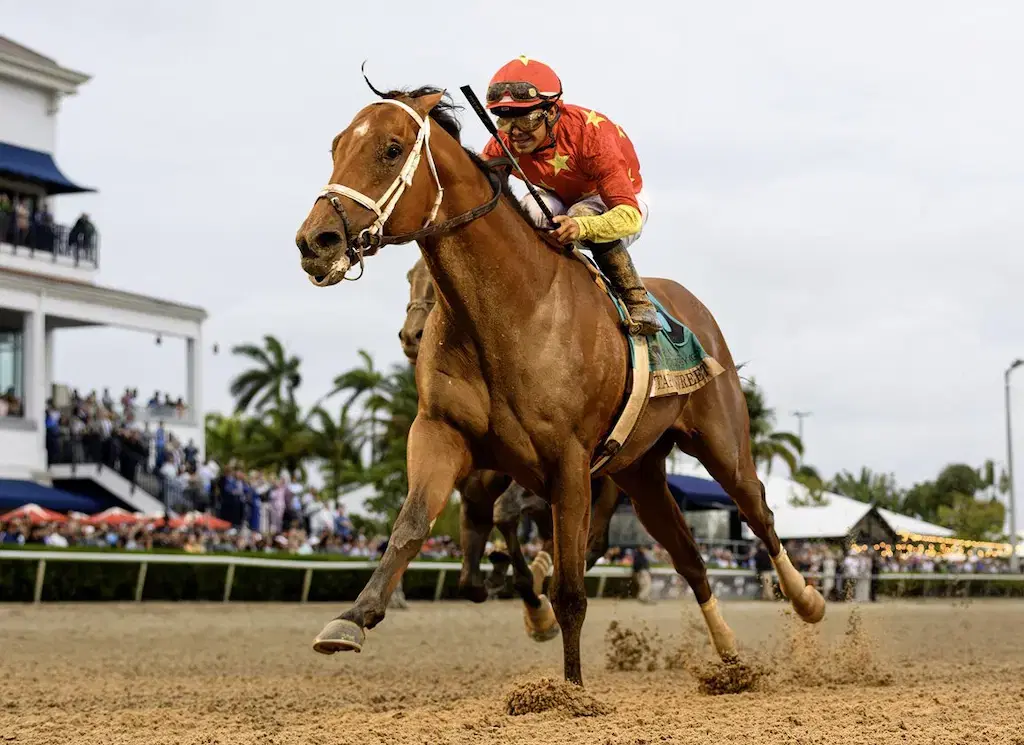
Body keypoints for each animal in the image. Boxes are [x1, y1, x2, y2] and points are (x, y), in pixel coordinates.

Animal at [295, 85, 824, 686]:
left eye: (391, 148)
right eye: (337, 145)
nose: (315, 240)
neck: (509, 310)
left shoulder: (568, 462)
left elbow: (570, 589)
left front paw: (569, 690)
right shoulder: (443, 433)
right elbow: (411, 524)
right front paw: (351, 619)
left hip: (722, 443)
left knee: (760, 513)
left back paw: (807, 600)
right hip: (640, 473)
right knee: (689, 556)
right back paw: (731, 656)